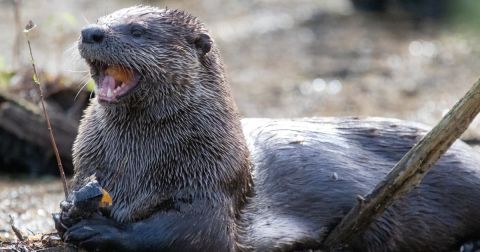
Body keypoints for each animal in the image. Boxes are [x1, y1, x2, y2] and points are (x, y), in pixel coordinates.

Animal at [53, 5, 480, 252]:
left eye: (137, 30)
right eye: (102, 20)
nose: (90, 32)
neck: (137, 167)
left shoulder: (210, 181)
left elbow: (190, 233)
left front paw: (100, 231)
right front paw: (65, 212)